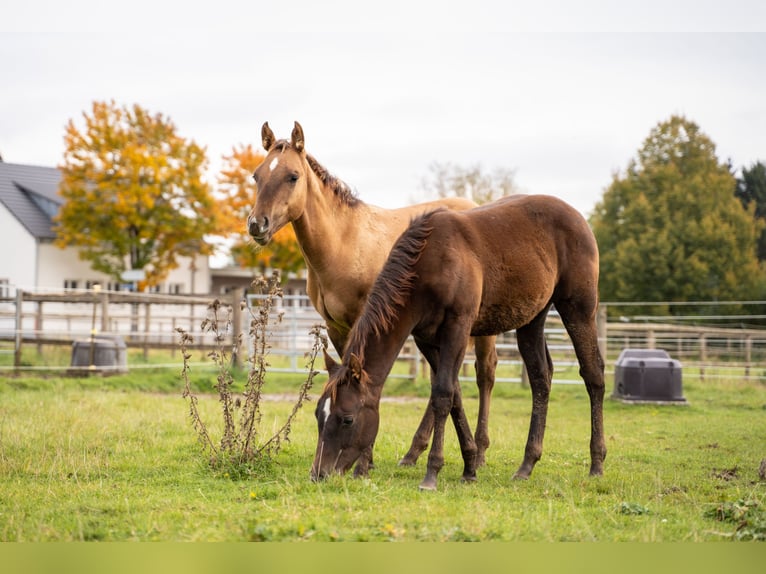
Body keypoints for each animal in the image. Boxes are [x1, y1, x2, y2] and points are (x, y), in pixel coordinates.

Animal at [246, 122, 498, 475]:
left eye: (292, 176)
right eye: (257, 176)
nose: (257, 224)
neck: (343, 241)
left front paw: (363, 462)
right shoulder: (337, 327)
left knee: (484, 373)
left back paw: (481, 450)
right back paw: (413, 452)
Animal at [311, 194, 606, 490]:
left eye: (347, 419)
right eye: (318, 415)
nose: (319, 474)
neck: (431, 261)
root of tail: (577, 217)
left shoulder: (458, 329)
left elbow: (443, 393)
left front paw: (432, 472)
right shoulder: (426, 339)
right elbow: (455, 395)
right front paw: (470, 466)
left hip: (578, 309)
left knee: (593, 374)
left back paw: (596, 463)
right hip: (532, 319)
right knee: (540, 379)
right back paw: (527, 464)